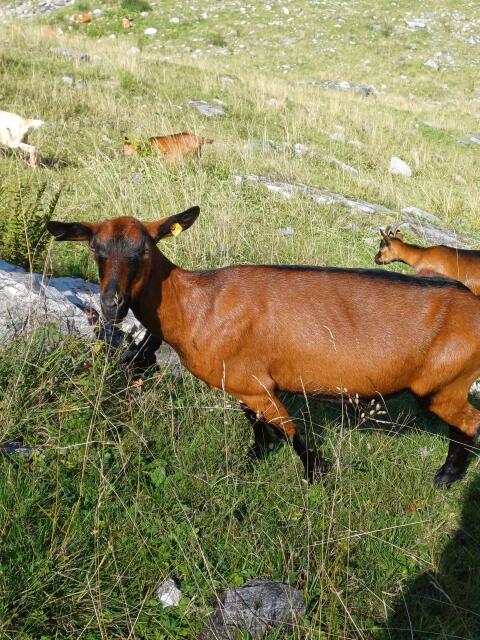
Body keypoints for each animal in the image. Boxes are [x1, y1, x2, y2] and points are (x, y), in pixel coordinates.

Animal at [47, 209, 480, 487]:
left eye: (144, 251)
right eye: (96, 251)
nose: (112, 305)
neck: (196, 304)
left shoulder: (257, 385)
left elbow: (289, 431)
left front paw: (315, 474)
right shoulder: (245, 382)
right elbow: (259, 426)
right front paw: (254, 458)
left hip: (443, 384)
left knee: (469, 422)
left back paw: (447, 477)